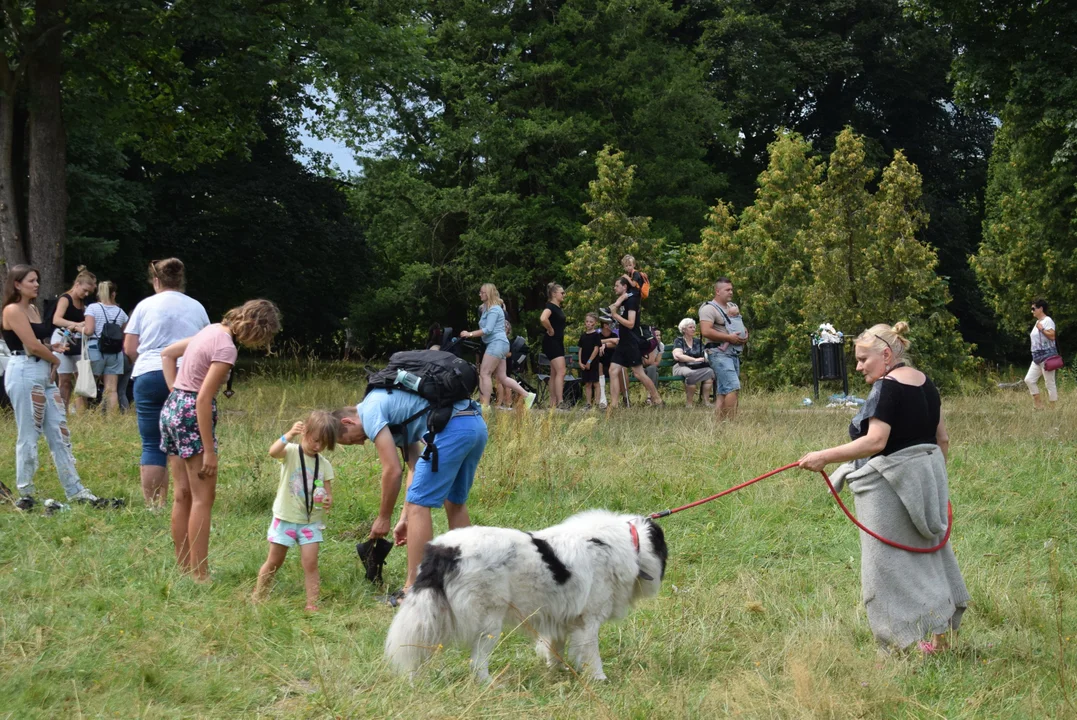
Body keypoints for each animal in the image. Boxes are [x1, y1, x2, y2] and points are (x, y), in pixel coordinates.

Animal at [379, 507, 663, 684]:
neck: (629, 543)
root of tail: (445, 550)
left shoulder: (559, 617)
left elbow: (554, 647)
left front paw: (556, 671)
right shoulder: (588, 621)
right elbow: (591, 653)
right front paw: (600, 679)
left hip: (432, 613)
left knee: (416, 647)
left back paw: (414, 680)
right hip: (488, 622)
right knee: (477, 661)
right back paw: (489, 684)